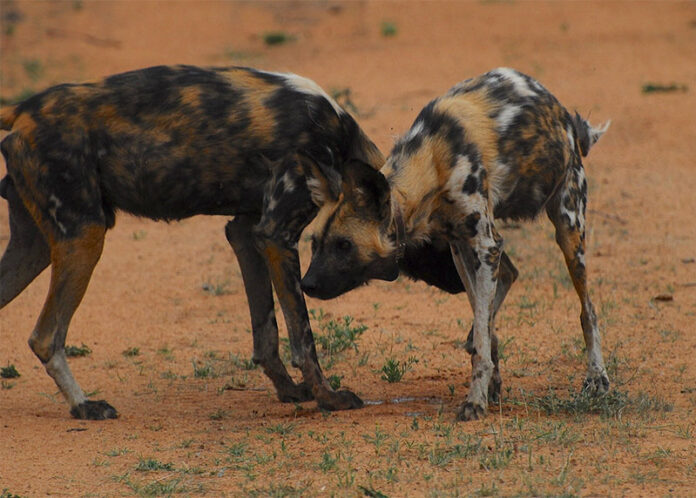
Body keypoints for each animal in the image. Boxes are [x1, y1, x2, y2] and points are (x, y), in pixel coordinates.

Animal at [0, 64, 392, 418]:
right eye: (335, 244)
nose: (311, 284)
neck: (337, 138)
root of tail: (24, 109)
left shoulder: (247, 233)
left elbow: (266, 333)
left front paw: (289, 391)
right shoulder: (276, 236)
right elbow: (303, 338)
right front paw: (328, 398)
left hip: (36, 246)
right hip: (85, 236)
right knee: (45, 337)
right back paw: (83, 406)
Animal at [302, 67, 612, 420]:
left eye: (344, 245)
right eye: (314, 244)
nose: (306, 284)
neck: (432, 159)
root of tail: (565, 118)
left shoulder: (485, 245)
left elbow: (480, 337)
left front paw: (474, 402)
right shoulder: (462, 246)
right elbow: (480, 329)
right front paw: (487, 382)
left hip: (569, 230)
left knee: (588, 311)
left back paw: (597, 379)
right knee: (509, 279)